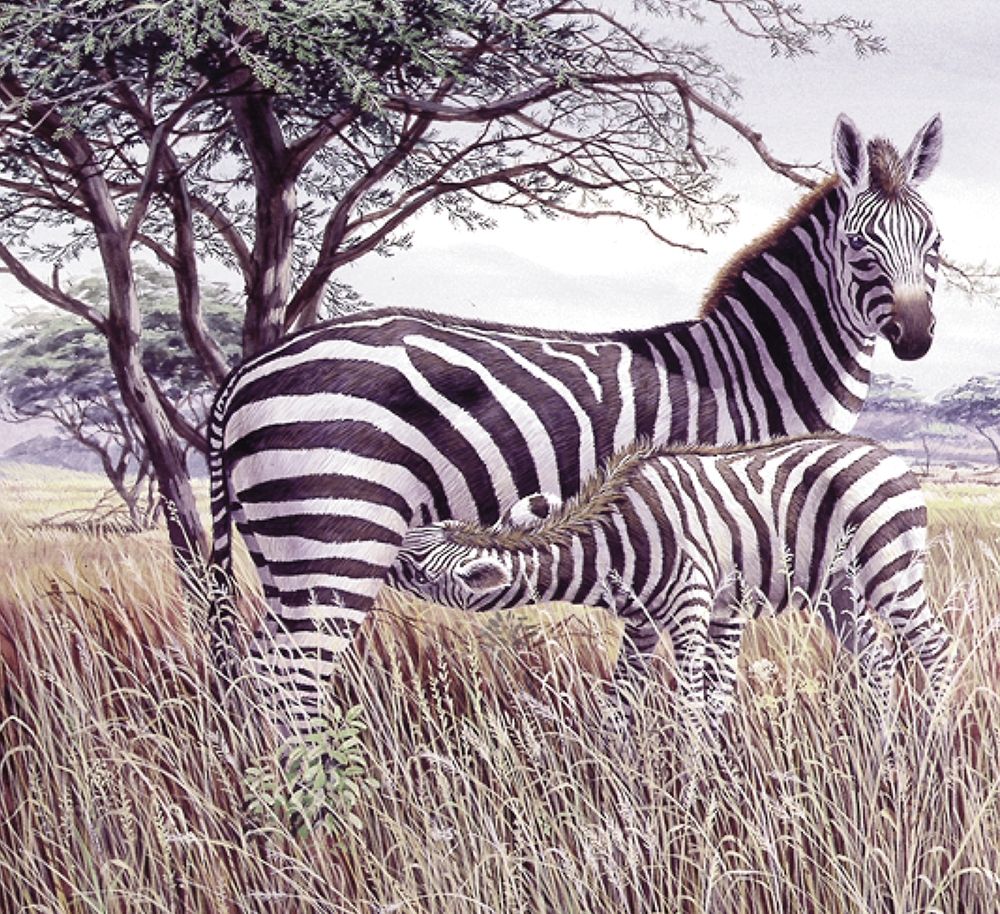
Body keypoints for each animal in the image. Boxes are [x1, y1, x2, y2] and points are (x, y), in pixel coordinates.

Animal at [386, 436, 956, 731]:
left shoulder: (692, 607)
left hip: (891, 572)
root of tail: (888, 453)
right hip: (837, 592)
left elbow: (691, 705)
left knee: (937, 647)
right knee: (877, 659)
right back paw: (877, 748)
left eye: (415, 570)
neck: (614, 545)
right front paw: (620, 783)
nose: (378, 554)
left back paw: (928, 743)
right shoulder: (640, 624)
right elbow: (620, 702)